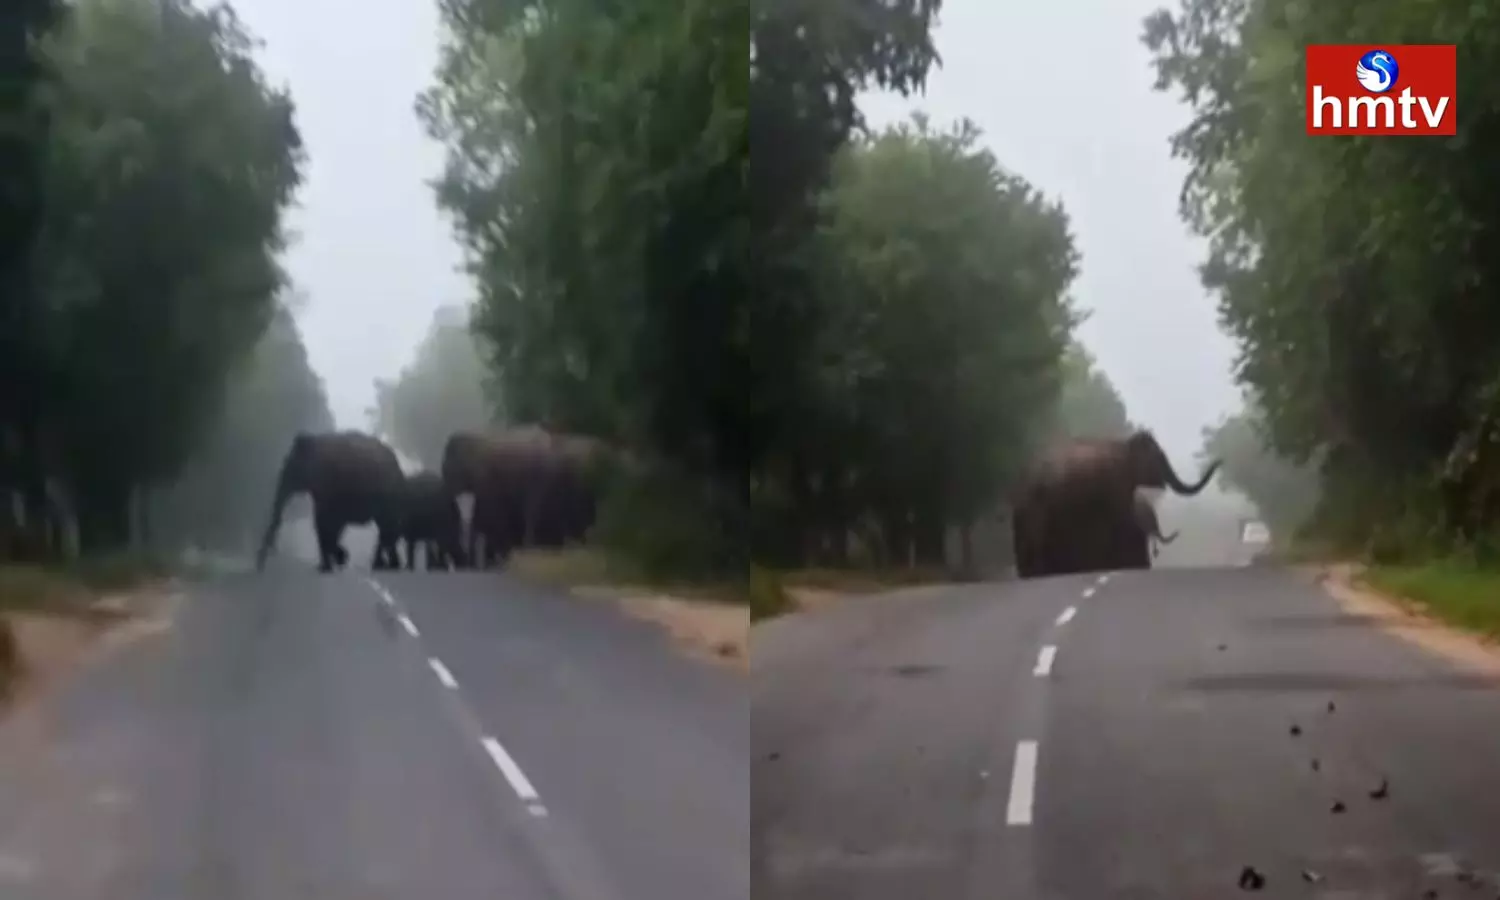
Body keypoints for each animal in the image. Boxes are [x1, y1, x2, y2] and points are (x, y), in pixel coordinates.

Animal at [256, 432, 408, 573]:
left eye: (289, 466)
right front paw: (334, 561)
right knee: (386, 526)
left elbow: (325, 521)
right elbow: (328, 523)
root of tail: (399, 466)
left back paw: (381, 565)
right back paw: (390, 565)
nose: (260, 567)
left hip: (389, 494)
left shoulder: (329, 484)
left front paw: (334, 562)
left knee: (386, 526)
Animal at [1008, 432, 1218, 585]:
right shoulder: (1116, 484)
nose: (1220, 460)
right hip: (1041, 510)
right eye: (1159, 458)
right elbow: (1124, 521)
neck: (1126, 445)